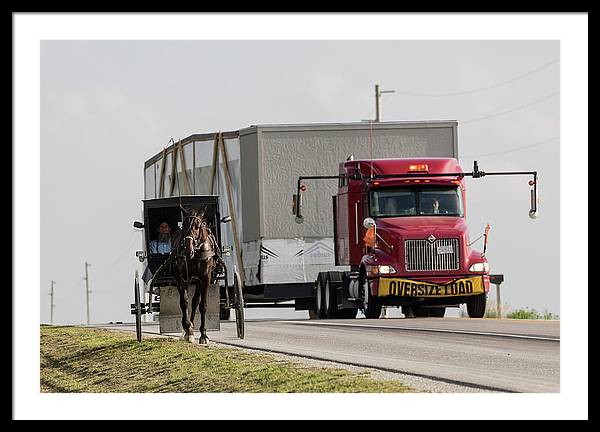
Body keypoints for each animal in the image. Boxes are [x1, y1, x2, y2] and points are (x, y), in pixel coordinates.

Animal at [170, 208, 219, 346]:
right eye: (184, 225)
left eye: (197, 225)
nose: (188, 250)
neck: (197, 251)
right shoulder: (184, 275)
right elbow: (184, 301)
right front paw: (188, 328)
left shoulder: (206, 278)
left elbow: (203, 305)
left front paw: (203, 335)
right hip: (178, 277)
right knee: (186, 300)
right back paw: (188, 329)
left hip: (198, 281)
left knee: (195, 301)